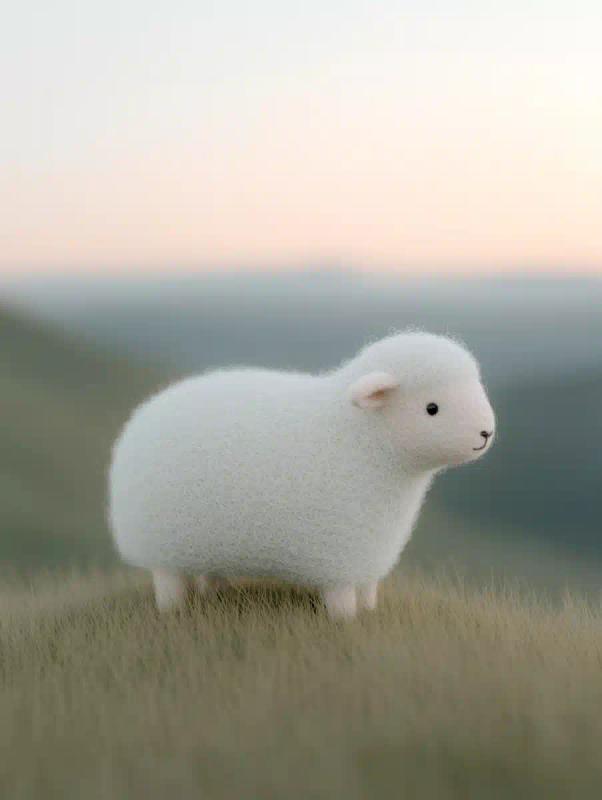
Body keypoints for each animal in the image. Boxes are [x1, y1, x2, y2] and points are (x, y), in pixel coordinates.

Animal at [108, 331, 495, 619]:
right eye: (432, 408)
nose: (485, 433)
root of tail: (140, 418)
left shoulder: (370, 553)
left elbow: (369, 593)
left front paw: (370, 611)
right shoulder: (341, 556)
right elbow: (343, 605)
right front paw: (347, 622)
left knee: (207, 572)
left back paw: (214, 592)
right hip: (160, 544)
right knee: (167, 582)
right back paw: (172, 609)